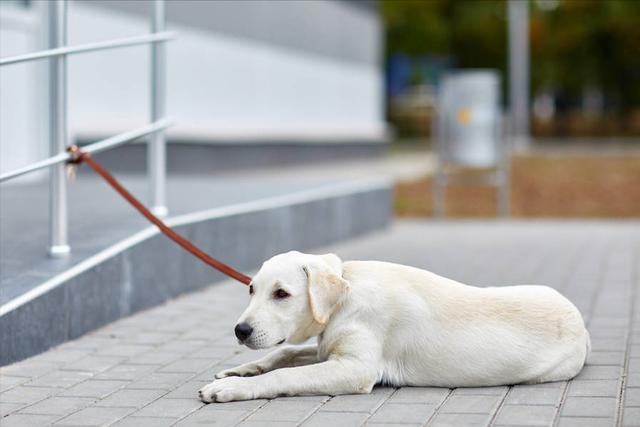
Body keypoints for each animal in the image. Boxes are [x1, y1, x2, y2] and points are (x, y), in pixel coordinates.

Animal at [199, 252, 592, 402]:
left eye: (282, 293)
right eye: (252, 289)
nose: (240, 331)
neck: (346, 294)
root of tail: (582, 323)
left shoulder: (355, 369)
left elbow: (285, 374)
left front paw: (233, 388)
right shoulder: (329, 350)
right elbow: (285, 354)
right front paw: (241, 370)